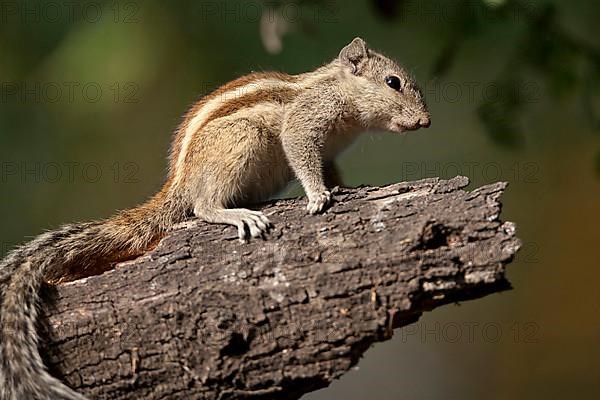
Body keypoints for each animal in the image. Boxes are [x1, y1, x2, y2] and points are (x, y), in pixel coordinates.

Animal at [0, 38, 432, 400]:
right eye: (393, 82)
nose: (426, 122)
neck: (339, 93)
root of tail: (180, 183)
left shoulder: (329, 151)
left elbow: (329, 169)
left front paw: (344, 186)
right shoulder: (304, 125)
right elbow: (302, 155)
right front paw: (317, 195)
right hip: (240, 142)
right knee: (202, 206)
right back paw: (235, 213)